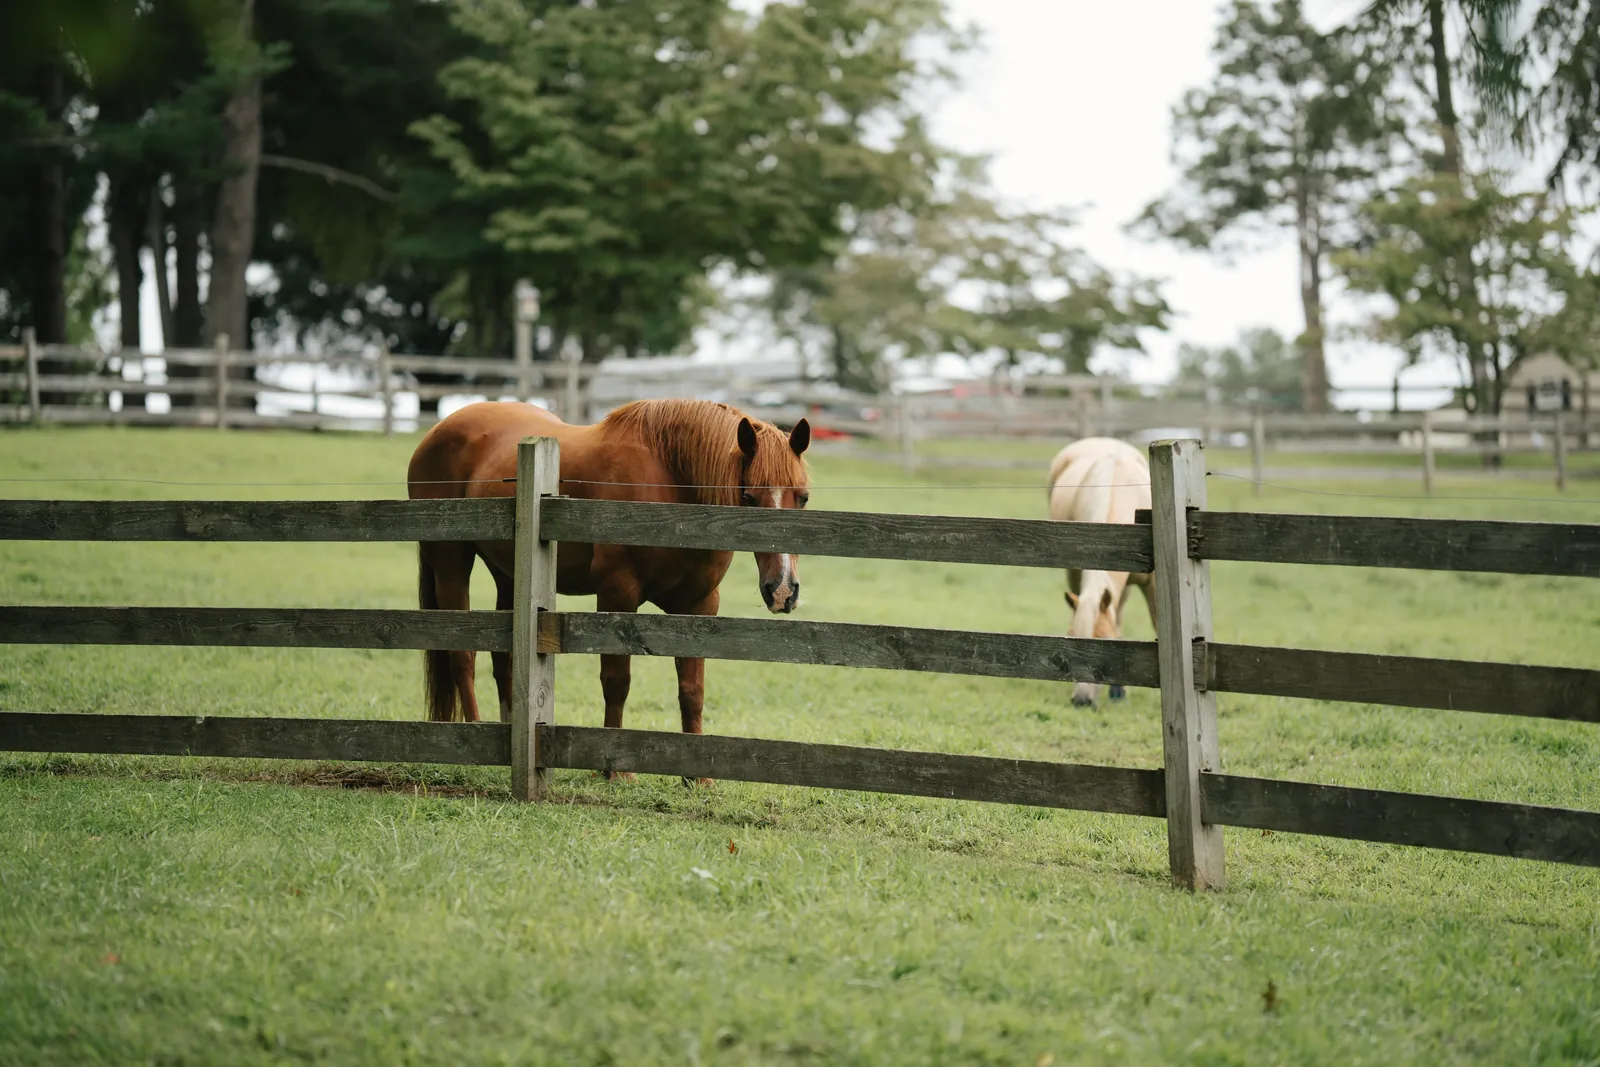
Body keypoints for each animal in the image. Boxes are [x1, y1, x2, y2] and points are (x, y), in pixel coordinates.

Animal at [407, 399, 811, 743]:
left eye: (803, 497)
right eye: (748, 498)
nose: (782, 590)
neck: (673, 486)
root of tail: (438, 431)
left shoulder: (699, 605)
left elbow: (692, 688)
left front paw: (698, 777)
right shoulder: (618, 595)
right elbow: (617, 681)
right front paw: (616, 769)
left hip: (507, 574)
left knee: (502, 658)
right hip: (451, 562)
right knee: (462, 656)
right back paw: (472, 731)